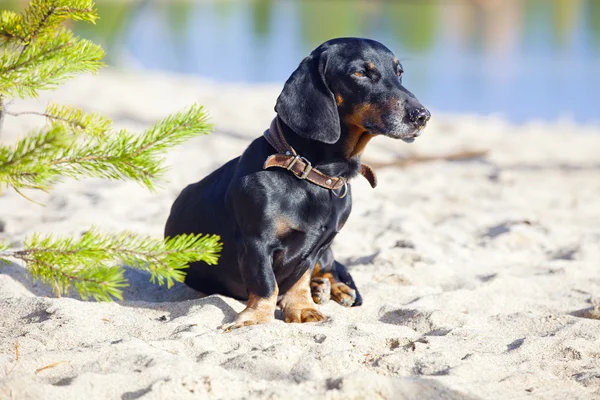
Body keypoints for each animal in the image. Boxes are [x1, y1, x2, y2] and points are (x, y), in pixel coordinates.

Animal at [165, 37, 432, 330]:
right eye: (360, 73)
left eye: (399, 72)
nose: (422, 116)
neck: (313, 176)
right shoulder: (257, 243)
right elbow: (266, 284)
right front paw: (257, 317)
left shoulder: (317, 247)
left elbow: (299, 279)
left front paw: (302, 308)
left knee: (328, 270)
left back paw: (332, 288)